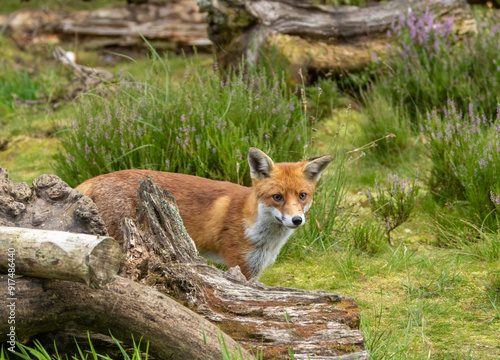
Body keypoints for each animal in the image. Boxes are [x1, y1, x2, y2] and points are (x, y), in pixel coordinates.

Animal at [75, 148, 332, 280]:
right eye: (277, 197)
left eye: (302, 196)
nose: (297, 220)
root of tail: (95, 179)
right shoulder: (240, 264)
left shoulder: (256, 268)